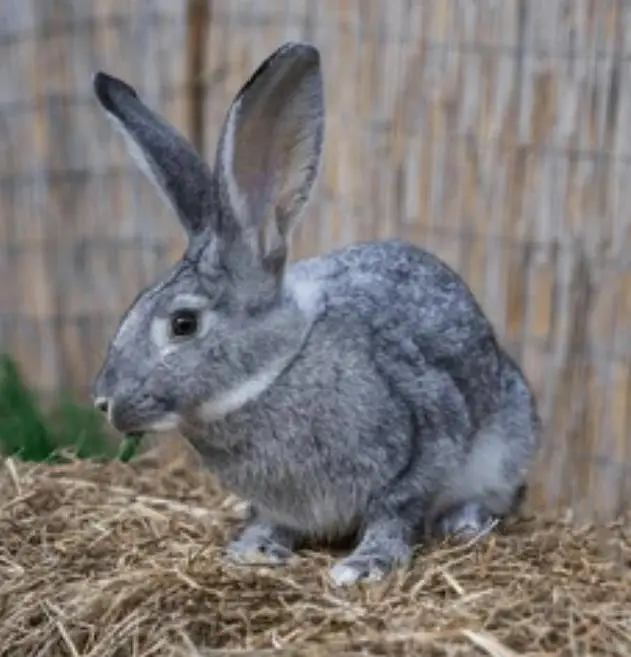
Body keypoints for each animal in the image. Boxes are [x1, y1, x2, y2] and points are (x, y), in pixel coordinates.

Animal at [90, 41, 542, 586]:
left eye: (183, 324)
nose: (103, 401)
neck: (274, 370)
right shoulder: (277, 503)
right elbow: (272, 521)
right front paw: (255, 549)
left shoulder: (430, 436)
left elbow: (396, 509)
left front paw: (365, 566)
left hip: (508, 442)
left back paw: (464, 523)